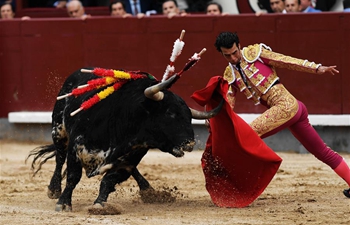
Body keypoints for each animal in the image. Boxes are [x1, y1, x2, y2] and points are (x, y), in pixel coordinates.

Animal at [27, 68, 221, 213]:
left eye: (189, 117)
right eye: (170, 113)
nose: (190, 143)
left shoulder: (127, 161)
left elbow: (108, 181)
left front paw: (100, 205)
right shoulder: (76, 147)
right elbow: (73, 177)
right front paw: (63, 203)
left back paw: (149, 191)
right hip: (58, 129)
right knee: (60, 157)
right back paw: (53, 189)